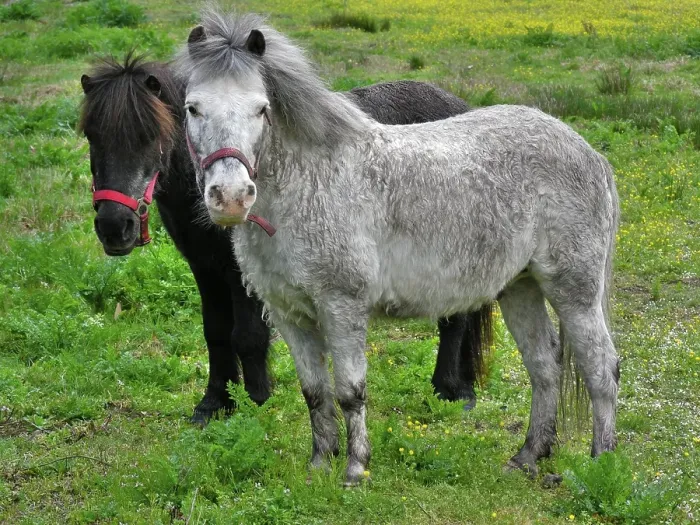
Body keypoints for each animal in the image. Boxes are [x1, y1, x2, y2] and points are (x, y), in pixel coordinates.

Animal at [78, 54, 494, 424]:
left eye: (150, 134)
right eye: (91, 135)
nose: (114, 227)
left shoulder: (242, 272)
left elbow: (247, 335)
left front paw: (256, 401)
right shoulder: (205, 268)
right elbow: (215, 332)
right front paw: (214, 403)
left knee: (455, 315)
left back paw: (451, 391)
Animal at [177, 10, 620, 486]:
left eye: (261, 109)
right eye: (193, 108)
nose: (231, 197)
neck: (310, 185)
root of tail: (588, 151)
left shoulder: (341, 307)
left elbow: (350, 392)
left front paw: (355, 469)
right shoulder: (289, 315)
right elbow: (315, 393)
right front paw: (319, 465)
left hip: (574, 291)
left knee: (601, 368)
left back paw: (603, 463)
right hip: (520, 288)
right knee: (544, 366)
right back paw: (528, 455)